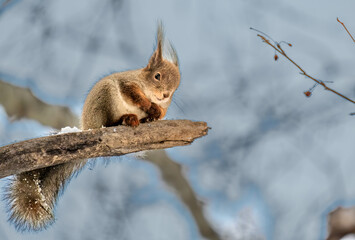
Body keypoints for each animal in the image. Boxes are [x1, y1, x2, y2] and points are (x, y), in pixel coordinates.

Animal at [4, 23, 184, 232]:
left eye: (176, 87)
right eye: (157, 76)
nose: (165, 95)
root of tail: (87, 127)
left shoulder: (164, 107)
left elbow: (161, 113)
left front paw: (154, 113)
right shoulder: (126, 83)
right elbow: (133, 95)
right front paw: (147, 105)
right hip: (105, 99)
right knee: (108, 123)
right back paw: (126, 119)